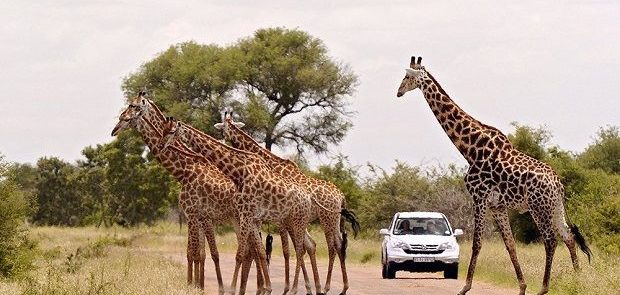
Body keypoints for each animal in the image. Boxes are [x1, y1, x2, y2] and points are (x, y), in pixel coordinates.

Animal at [110, 93, 258, 294]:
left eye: (129, 113)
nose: (114, 130)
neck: (186, 170)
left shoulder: (198, 215)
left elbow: (203, 253)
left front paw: (200, 286)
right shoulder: (195, 216)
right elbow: (196, 253)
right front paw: (196, 285)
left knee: (254, 251)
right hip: (240, 219)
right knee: (253, 251)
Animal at [161, 117, 314, 295]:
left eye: (172, 131)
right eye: (165, 130)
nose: (162, 144)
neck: (240, 171)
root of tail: (308, 198)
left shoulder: (244, 214)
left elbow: (240, 254)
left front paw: (232, 289)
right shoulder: (248, 216)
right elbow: (258, 251)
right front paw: (265, 288)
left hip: (295, 221)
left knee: (300, 249)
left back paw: (296, 288)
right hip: (290, 221)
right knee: (305, 247)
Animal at [213, 112, 360, 295]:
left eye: (223, 129)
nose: (222, 139)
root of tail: (341, 196)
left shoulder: (281, 220)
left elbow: (287, 251)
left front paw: (286, 288)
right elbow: (295, 248)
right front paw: (305, 287)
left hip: (327, 219)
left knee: (333, 246)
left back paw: (327, 287)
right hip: (334, 220)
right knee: (335, 245)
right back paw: (337, 287)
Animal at [394, 56, 592, 294]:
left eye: (406, 77)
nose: (398, 92)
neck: (470, 149)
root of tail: (557, 183)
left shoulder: (479, 197)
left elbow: (477, 243)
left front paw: (465, 287)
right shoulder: (497, 205)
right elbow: (510, 244)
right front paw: (522, 286)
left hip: (538, 206)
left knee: (551, 239)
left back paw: (544, 287)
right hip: (555, 206)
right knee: (568, 236)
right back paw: (578, 280)